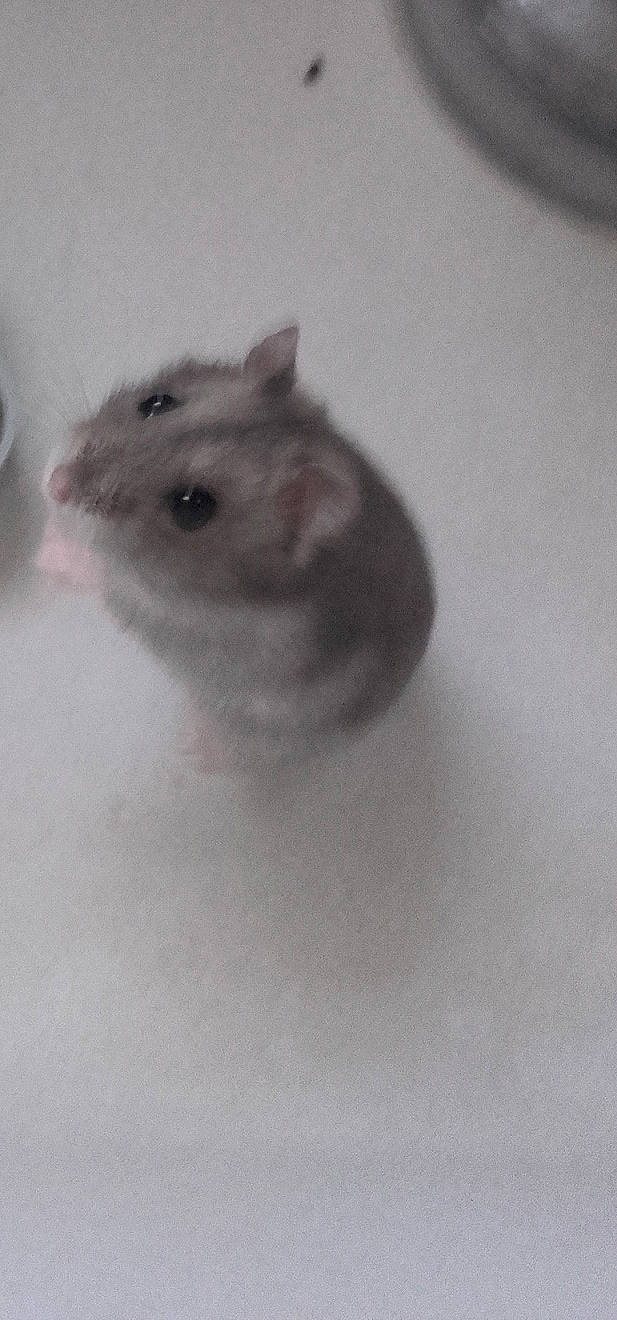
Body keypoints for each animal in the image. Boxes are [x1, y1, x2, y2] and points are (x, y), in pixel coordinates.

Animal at [45, 326, 435, 768]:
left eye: (193, 508)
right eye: (156, 402)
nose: (55, 483)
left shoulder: (160, 610)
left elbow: (107, 579)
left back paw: (196, 748)